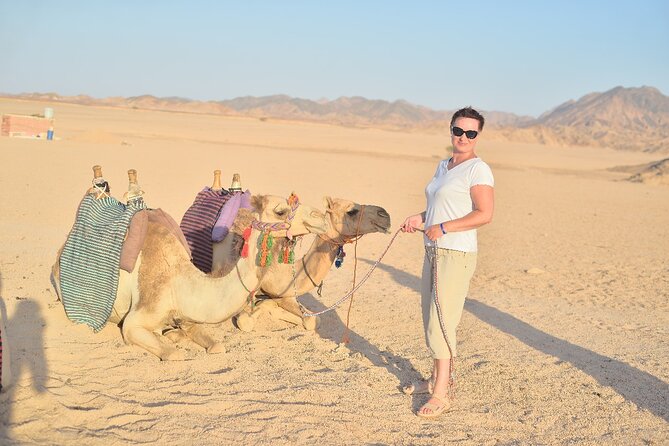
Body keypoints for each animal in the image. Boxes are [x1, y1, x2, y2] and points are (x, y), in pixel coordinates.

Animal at [52, 193, 328, 360]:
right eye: (281, 211)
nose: (321, 217)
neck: (179, 281)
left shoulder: (191, 315)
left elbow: (216, 345)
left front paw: (175, 333)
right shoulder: (136, 319)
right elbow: (174, 353)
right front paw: (169, 338)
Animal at [212, 197, 391, 332]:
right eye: (352, 211)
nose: (385, 215)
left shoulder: (287, 293)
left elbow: (313, 320)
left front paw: (269, 305)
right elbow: (245, 321)